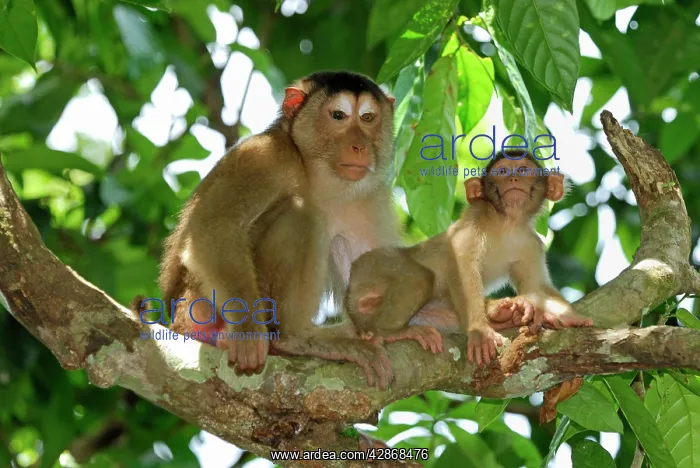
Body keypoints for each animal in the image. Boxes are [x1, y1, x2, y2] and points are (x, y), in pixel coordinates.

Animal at [158, 71, 400, 388]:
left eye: (368, 118)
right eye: (338, 116)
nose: (359, 146)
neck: (312, 171)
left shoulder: (369, 195)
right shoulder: (263, 156)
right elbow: (213, 228)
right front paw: (248, 332)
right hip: (201, 304)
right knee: (301, 215)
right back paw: (294, 338)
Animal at [345, 149, 594, 367]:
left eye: (523, 170)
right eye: (502, 172)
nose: (513, 178)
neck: (507, 225)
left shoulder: (531, 244)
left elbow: (536, 286)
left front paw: (568, 316)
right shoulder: (473, 225)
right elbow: (463, 267)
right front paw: (479, 331)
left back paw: (507, 313)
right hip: (372, 269)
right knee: (418, 277)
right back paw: (390, 332)